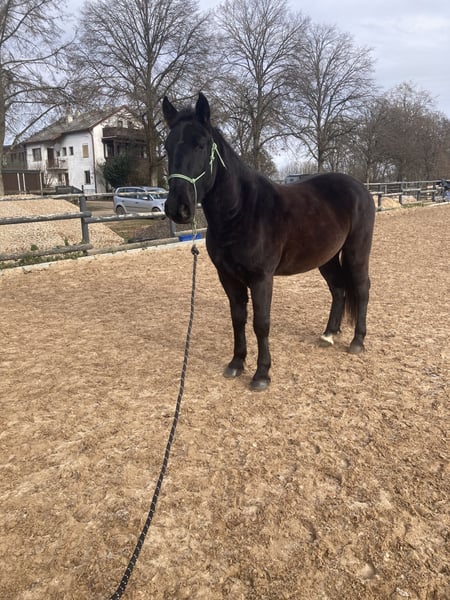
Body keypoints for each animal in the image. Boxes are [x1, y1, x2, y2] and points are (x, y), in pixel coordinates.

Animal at [163, 93, 375, 390]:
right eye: (167, 147)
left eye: (201, 145)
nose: (177, 207)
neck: (240, 211)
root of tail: (360, 189)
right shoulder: (228, 277)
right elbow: (238, 318)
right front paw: (236, 363)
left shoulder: (261, 277)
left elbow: (261, 323)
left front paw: (262, 374)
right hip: (327, 257)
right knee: (338, 289)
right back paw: (329, 334)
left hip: (357, 252)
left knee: (362, 288)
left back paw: (357, 341)